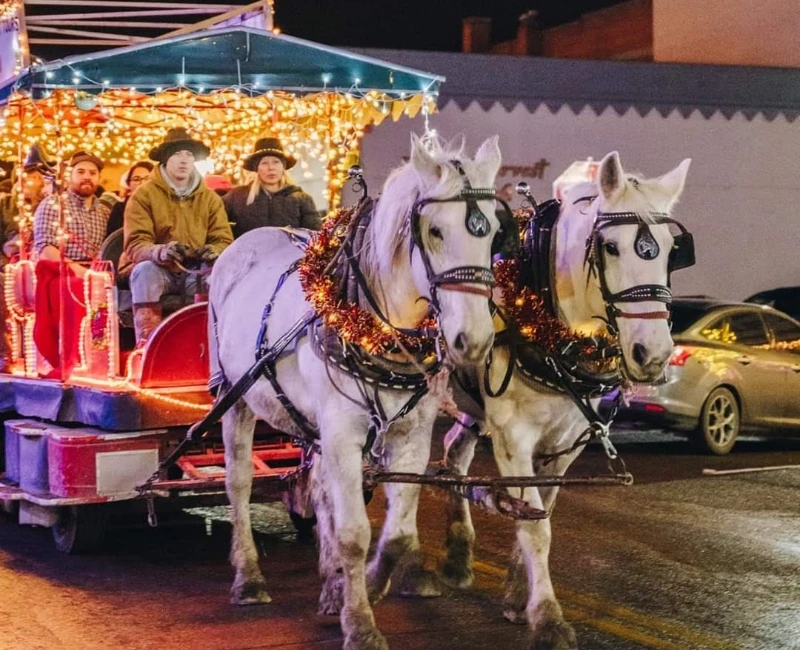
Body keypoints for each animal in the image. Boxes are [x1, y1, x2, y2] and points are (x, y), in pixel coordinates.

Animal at [209, 133, 504, 648]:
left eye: (493, 234)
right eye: (435, 231)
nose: (474, 339)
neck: (375, 327)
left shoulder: (410, 434)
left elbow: (396, 533)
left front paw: (369, 583)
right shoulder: (343, 433)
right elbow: (353, 532)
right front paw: (361, 623)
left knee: (319, 487)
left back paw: (330, 584)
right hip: (237, 397)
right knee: (239, 482)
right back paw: (248, 577)